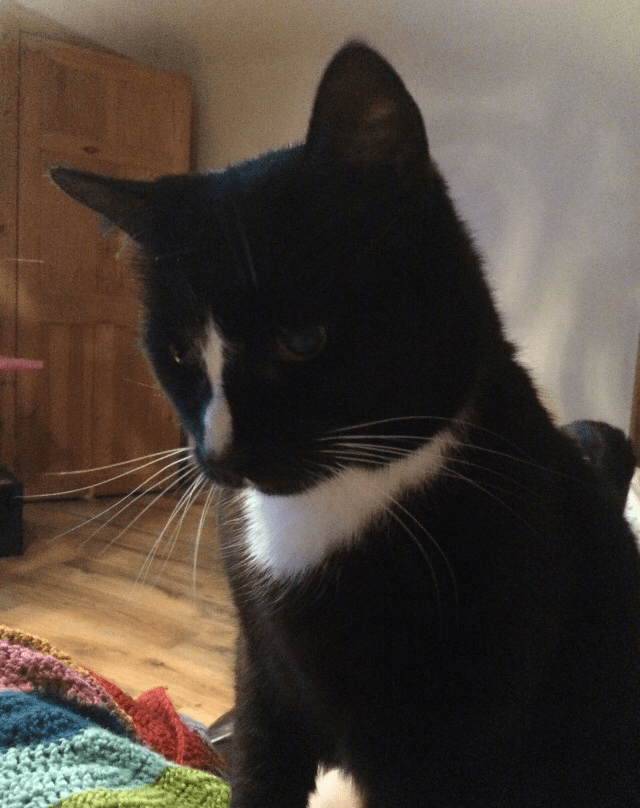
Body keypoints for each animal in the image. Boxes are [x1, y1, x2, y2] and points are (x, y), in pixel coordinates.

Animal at [51, 42, 640, 808]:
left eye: (301, 340)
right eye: (178, 352)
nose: (221, 454)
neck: (332, 506)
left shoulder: (457, 736)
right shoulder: (262, 675)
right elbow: (258, 764)